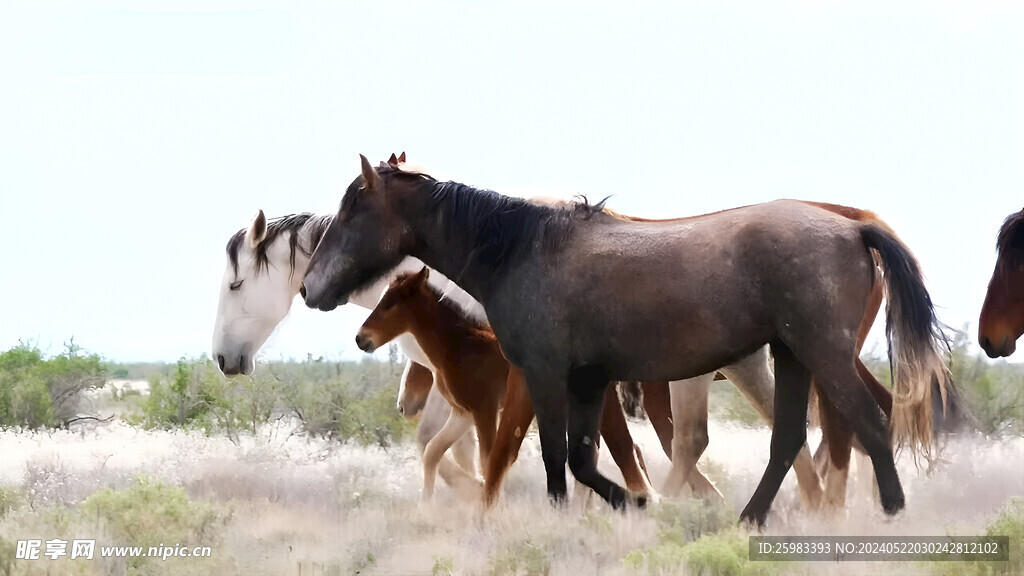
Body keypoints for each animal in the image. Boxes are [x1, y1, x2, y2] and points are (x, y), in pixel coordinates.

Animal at [299, 154, 946, 522]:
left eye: (352, 209)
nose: (309, 287)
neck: (524, 249)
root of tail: (854, 227)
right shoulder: (589, 381)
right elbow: (584, 460)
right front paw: (636, 504)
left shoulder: (546, 375)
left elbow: (556, 459)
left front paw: (598, 512)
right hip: (790, 355)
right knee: (790, 438)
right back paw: (750, 519)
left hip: (821, 353)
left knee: (868, 421)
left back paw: (890, 514)